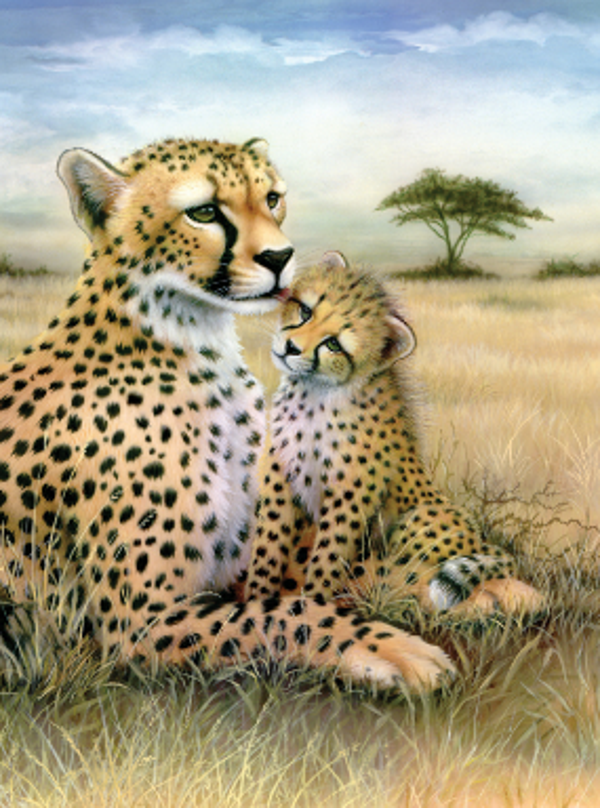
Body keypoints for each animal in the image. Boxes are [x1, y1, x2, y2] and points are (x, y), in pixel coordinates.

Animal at [0, 138, 455, 692]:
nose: (280, 257)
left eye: (272, 198)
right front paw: (388, 647)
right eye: (204, 212)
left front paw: (478, 583)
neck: (192, 340)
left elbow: (309, 577)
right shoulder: (137, 623)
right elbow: (283, 614)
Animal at [245, 252, 544, 617]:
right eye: (305, 311)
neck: (315, 392)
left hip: (421, 518)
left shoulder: (350, 497)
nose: (290, 348)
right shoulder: (282, 479)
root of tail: (482, 540)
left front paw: (310, 606)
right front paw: (257, 598)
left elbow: (327, 557)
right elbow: (268, 544)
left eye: (333, 344)